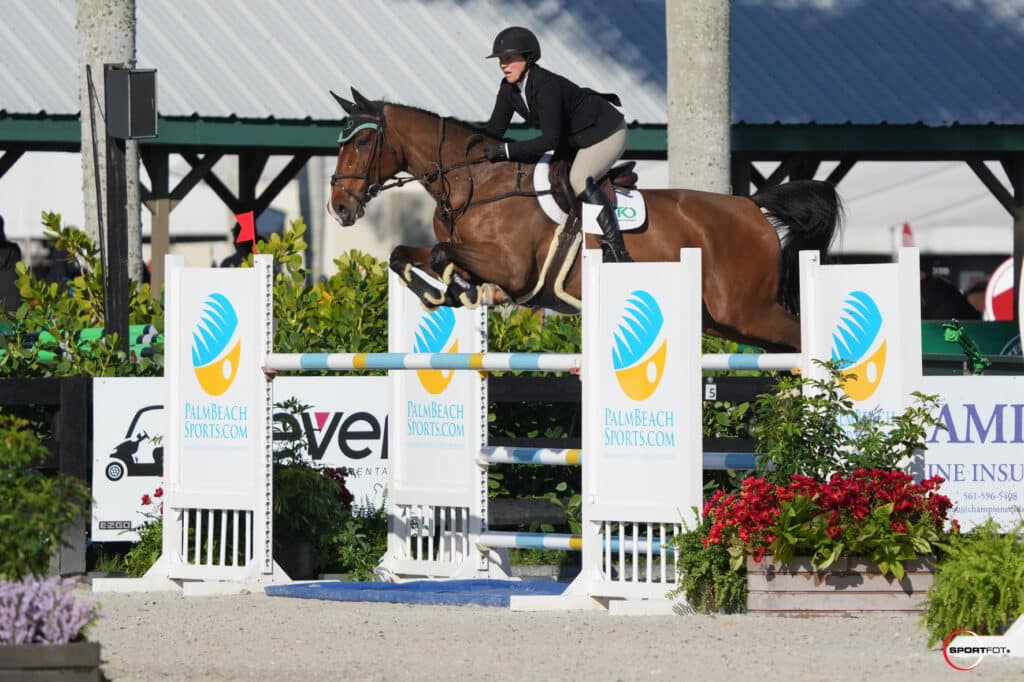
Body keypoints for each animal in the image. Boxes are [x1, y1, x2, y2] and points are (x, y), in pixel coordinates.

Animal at [328, 87, 843, 352]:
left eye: (361, 142)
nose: (339, 207)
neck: (475, 181)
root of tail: (753, 208)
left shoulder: (513, 267)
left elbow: (439, 254)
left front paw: (466, 292)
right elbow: (405, 253)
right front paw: (446, 293)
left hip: (748, 311)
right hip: (724, 321)